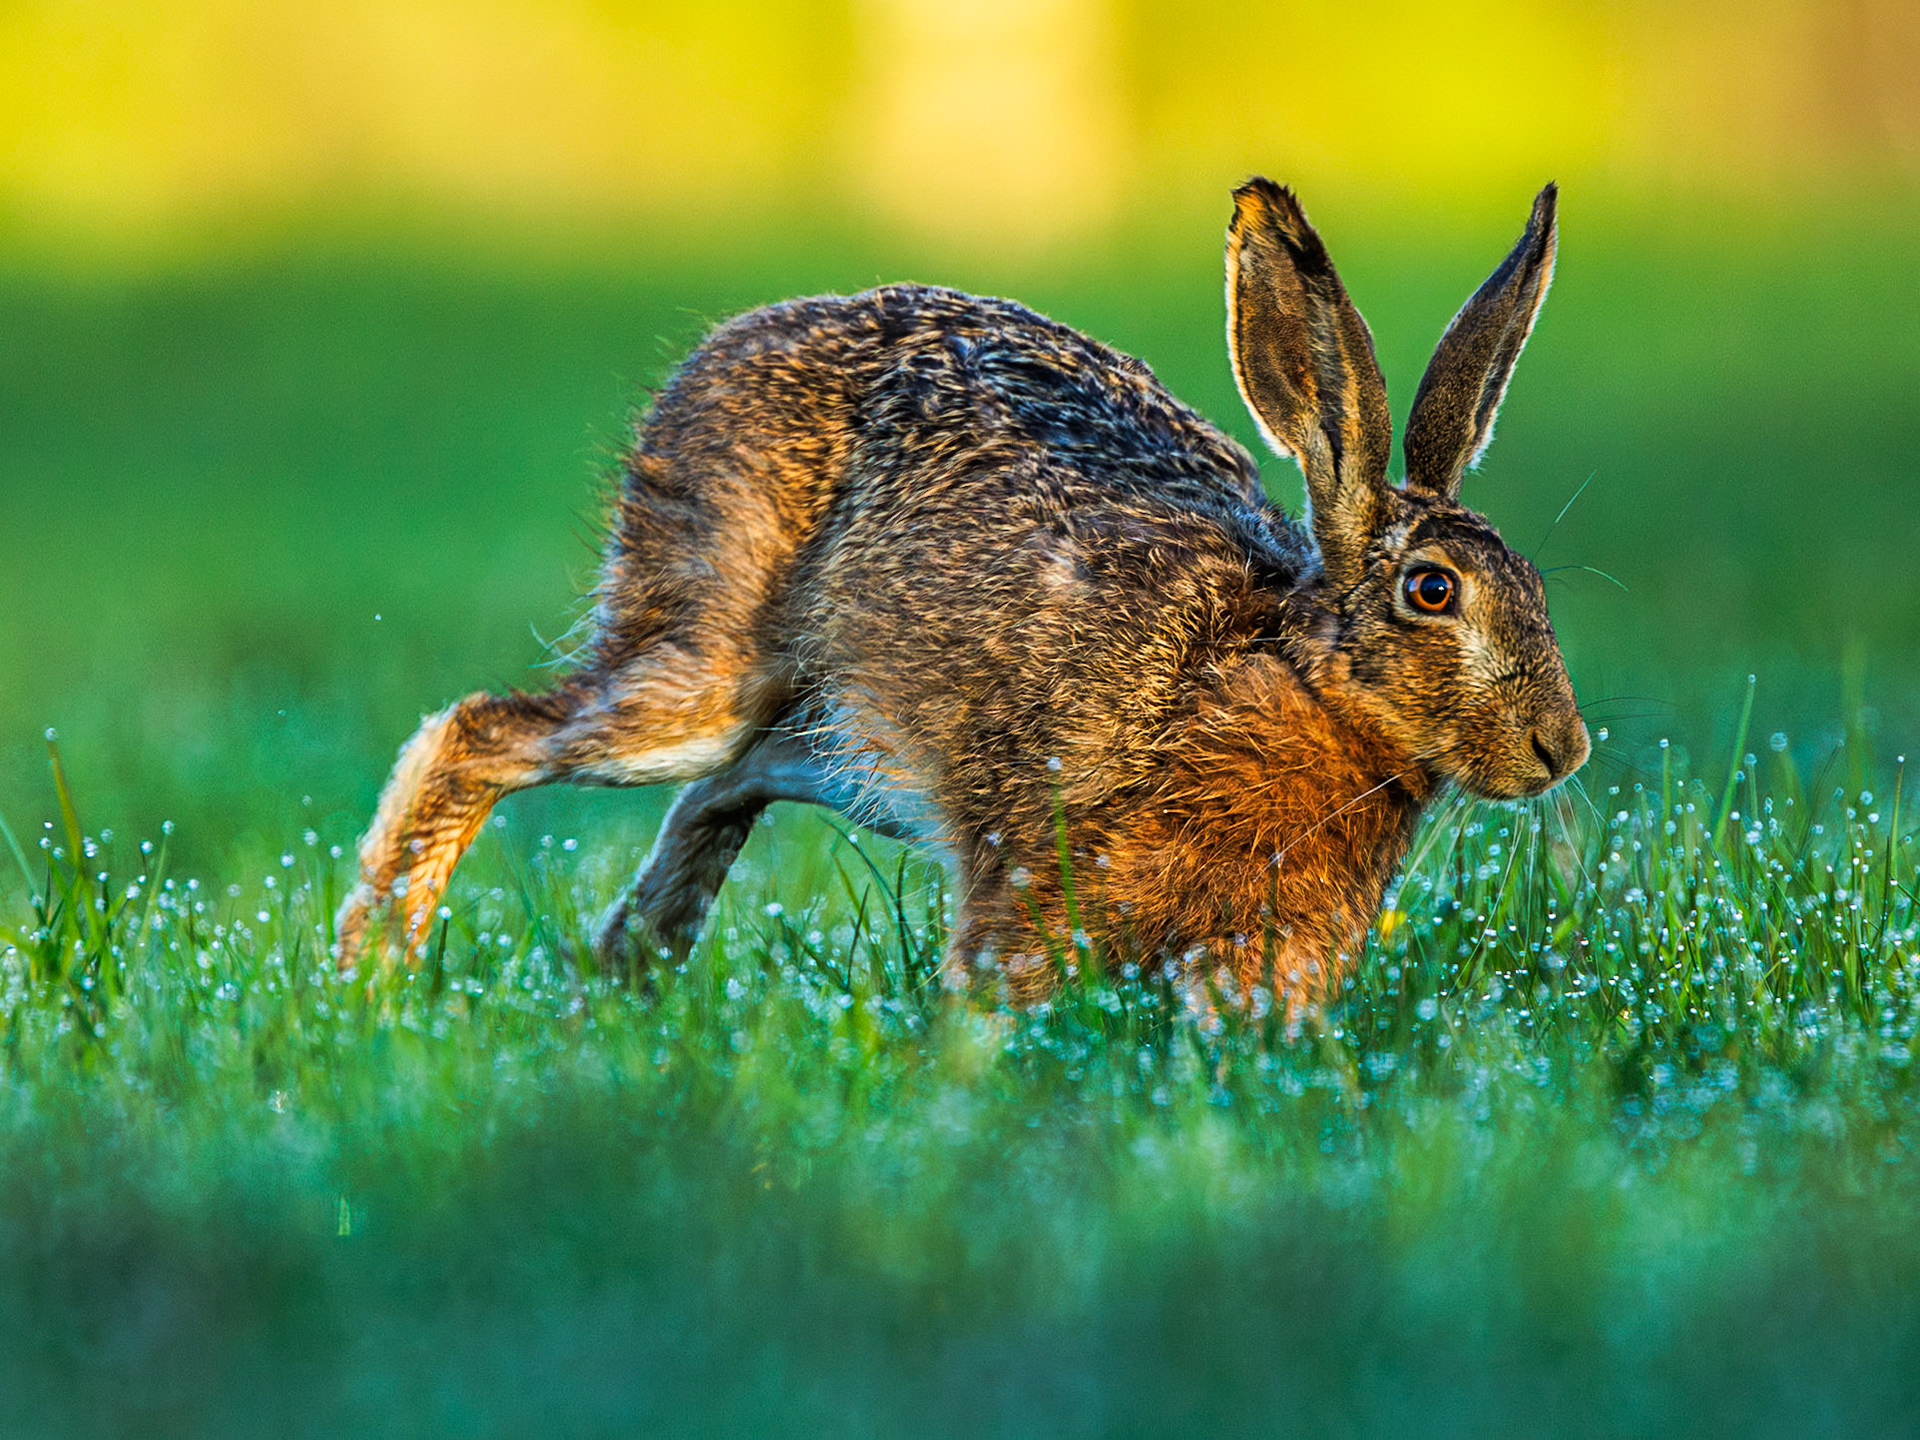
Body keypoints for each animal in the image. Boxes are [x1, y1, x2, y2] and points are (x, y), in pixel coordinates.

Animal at [335, 178, 1589, 1010]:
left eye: (1532, 584)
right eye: (1433, 591)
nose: (1561, 750)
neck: (1287, 677)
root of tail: (716, 354)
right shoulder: (1029, 850)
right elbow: (1001, 976)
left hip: (826, 725)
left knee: (720, 792)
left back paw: (622, 984)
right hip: (711, 664)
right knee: (485, 735)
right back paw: (374, 972)